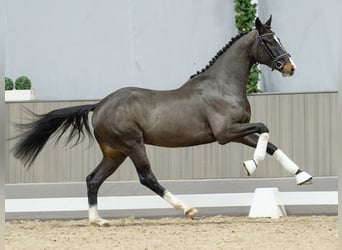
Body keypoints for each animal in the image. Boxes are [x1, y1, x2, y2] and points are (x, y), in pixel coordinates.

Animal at [13, 16, 312, 226]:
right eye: (269, 41)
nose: (291, 67)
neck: (221, 85)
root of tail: (99, 105)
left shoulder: (239, 131)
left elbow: (271, 143)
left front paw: (302, 176)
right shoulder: (226, 133)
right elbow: (265, 129)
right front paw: (251, 165)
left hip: (115, 152)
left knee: (93, 179)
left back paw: (98, 220)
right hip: (133, 145)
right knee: (147, 178)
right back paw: (188, 208)